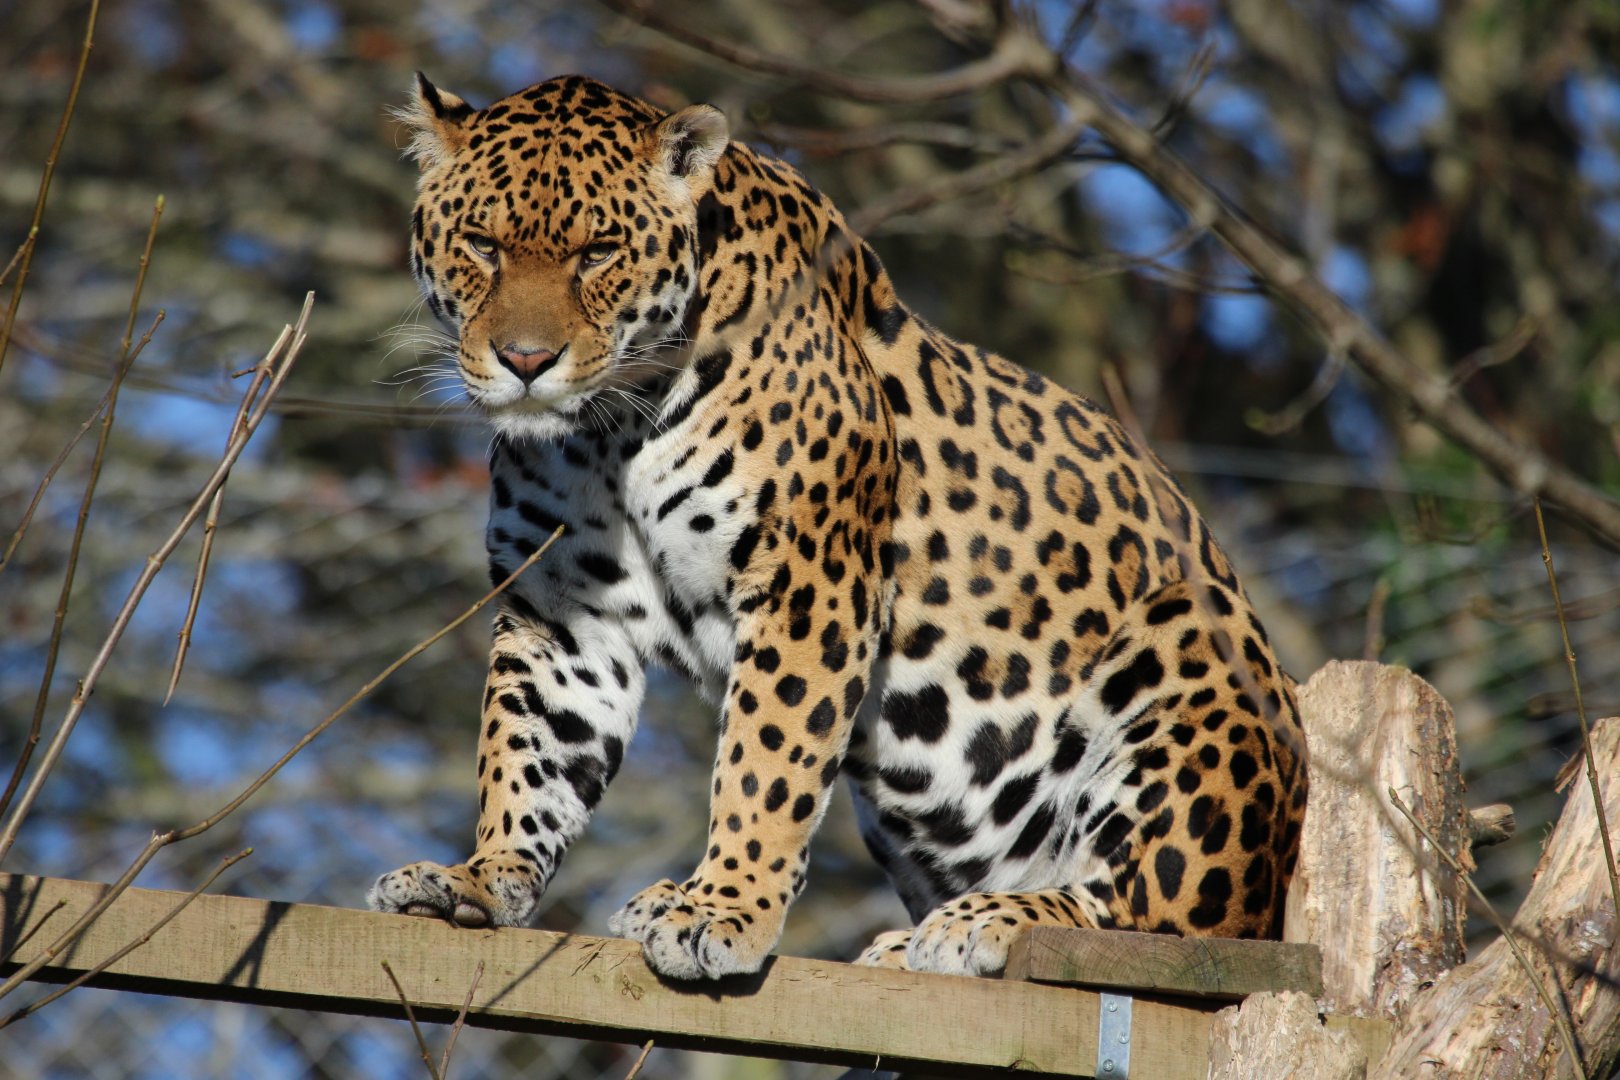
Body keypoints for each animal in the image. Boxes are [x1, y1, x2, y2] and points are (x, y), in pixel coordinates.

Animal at [368, 73, 1307, 981]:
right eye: (482, 245)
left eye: (597, 252)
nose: (526, 362)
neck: (607, 430)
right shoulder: (562, 611)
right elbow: (527, 752)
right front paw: (480, 879)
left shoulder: (807, 581)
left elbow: (766, 759)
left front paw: (722, 908)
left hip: (1189, 659)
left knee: (1162, 915)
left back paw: (986, 920)